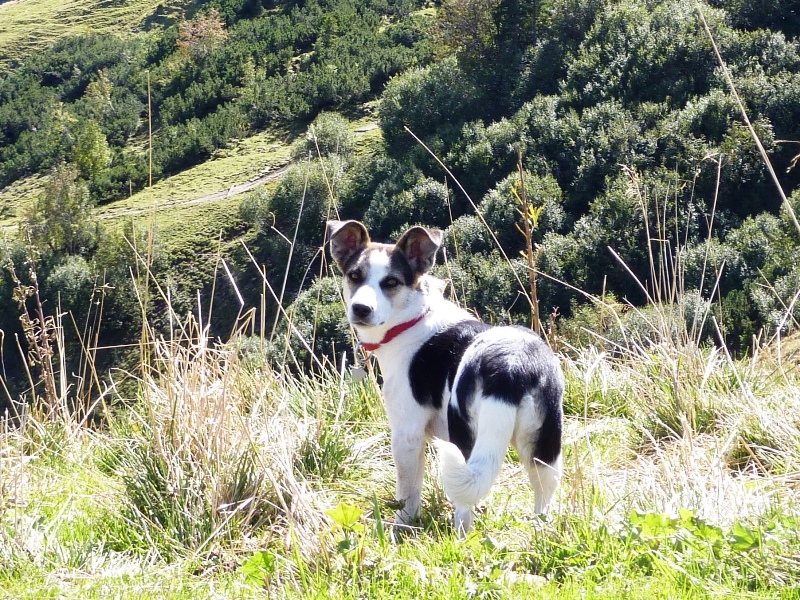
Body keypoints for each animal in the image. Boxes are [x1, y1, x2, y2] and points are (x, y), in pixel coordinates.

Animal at [324, 220, 564, 536]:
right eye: (354, 275)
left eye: (391, 283)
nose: (361, 309)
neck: (411, 320)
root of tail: (512, 364)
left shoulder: (407, 434)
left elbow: (408, 493)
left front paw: (401, 527)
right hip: (544, 448)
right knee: (544, 497)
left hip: (463, 435)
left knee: (464, 509)